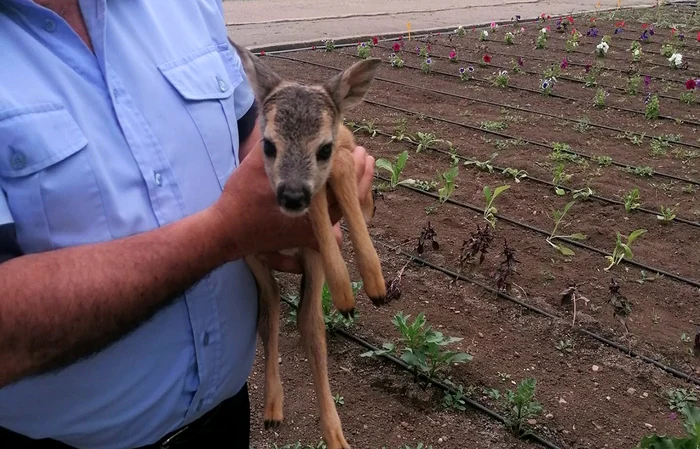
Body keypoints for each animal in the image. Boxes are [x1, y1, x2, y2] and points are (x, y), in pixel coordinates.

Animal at [234, 42, 388, 448]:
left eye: (324, 148)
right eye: (268, 144)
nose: (291, 195)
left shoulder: (348, 155)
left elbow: (344, 185)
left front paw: (374, 286)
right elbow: (319, 204)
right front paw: (348, 292)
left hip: (306, 262)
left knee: (310, 323)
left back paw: (333, 434)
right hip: (251, 254)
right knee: (273, 308)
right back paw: (274, 409)